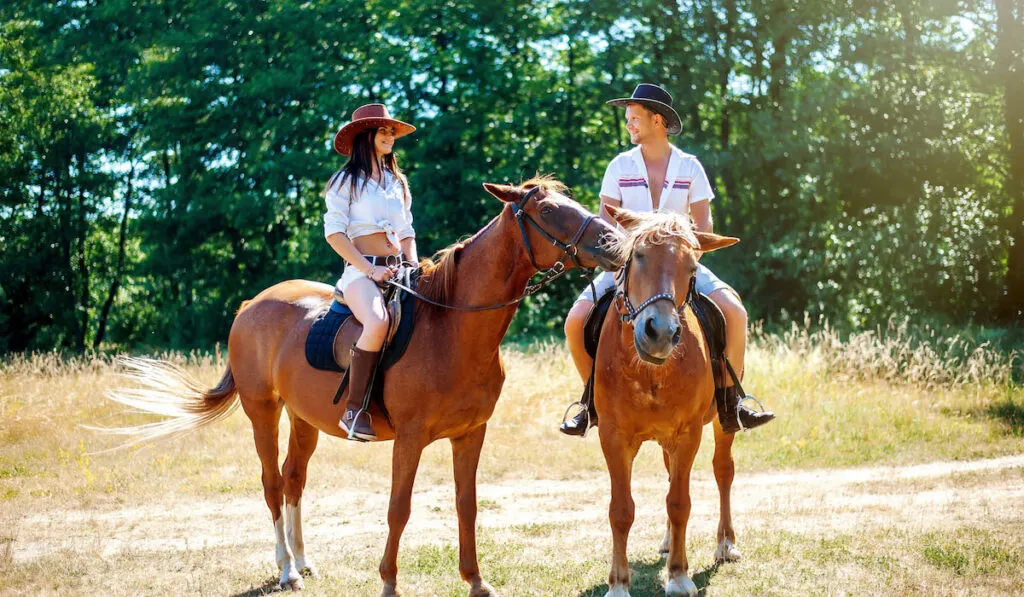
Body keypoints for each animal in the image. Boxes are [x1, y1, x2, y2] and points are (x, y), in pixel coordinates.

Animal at [99, 181, 618, 597]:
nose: (613, 242)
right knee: (271, 483)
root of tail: (251, 304)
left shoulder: (471, 434)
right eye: (548, 210)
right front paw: (388, 581)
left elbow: (466, 506)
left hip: (302, 418)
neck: (452, 327)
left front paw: (475, 580)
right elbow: (398, 509)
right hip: (262, 409)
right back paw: (287, 570)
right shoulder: (409, 439)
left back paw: (304, 560)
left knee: (293, 479)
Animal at [593, 206, 745, 597]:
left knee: (723, 470)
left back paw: (726, 543)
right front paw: (618, 583)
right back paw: (666, 542)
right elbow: (621, 509)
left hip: (722, 423)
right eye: (639, 256)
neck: (650, 370)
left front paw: (678, 576)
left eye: (692, 267)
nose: (660, 332)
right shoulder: (613, 436)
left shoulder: (688, 434)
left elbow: (679, 503)